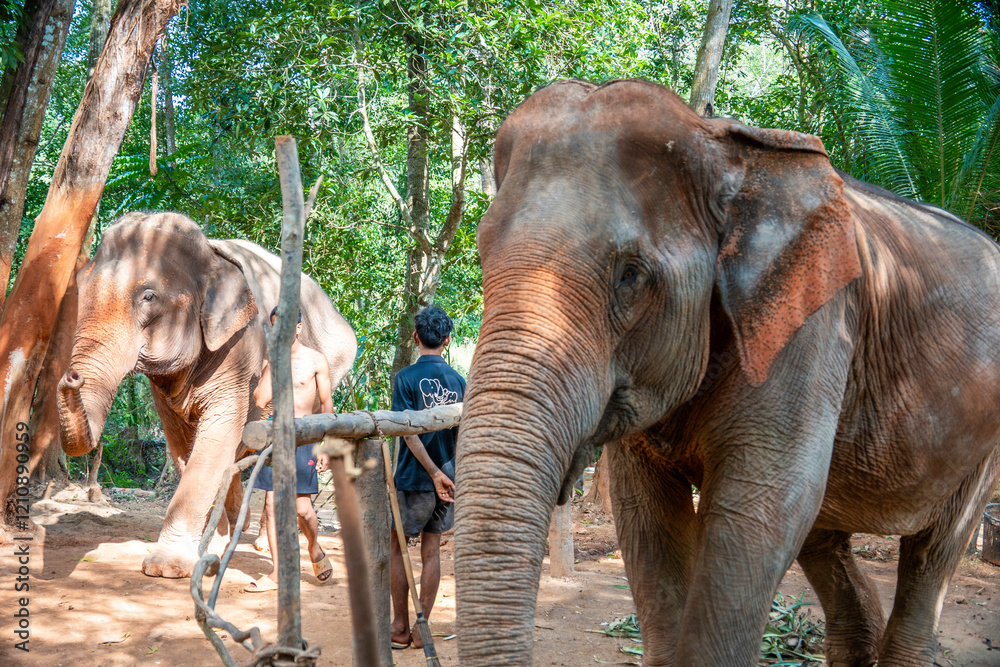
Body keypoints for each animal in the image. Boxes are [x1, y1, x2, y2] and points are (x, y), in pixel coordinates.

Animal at [57, 211, 357, 578]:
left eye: (148, 297)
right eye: (80, 288)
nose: (71, 376)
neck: (211, 258)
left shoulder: (241, 352)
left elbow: (218, 433)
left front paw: (166, 568)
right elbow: (183, 445)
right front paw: (209, 548)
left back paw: (269, 544)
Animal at [453, 79, 1000, 667]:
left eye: (630, 275)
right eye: (481, 255)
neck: (726, 147)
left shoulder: (812, 326)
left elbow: (758, 511)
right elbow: (645, 515)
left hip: (982, 443)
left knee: (933, 551)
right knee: (823, 539)